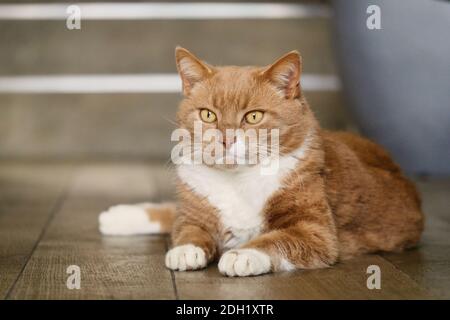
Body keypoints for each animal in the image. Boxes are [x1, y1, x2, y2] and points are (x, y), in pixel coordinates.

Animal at [99, 46, 426, 276]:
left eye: (254, 116)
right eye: (208, 115)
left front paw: (242, 255)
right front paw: (186, 250)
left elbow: (278, 239)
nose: (226, 138)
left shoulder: (317, 231)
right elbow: (187, 226)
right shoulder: (193, 211)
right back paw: (117, 216)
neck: (237, 181)